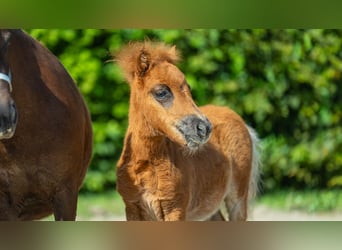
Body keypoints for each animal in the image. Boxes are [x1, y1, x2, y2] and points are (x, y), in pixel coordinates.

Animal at [114, 41, 260, 221]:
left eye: (188, 89)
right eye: (161, 92)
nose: (204, 128)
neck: (147, 166)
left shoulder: (175, 209)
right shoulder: (133, 209)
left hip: (237, 197)